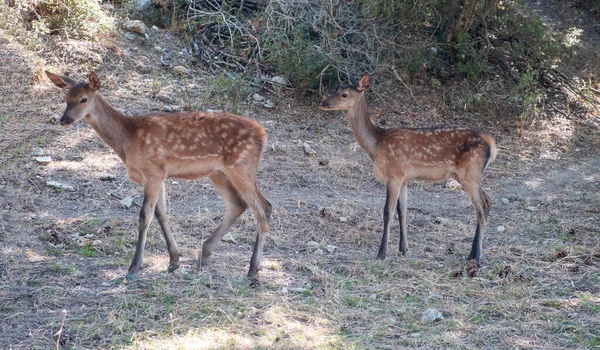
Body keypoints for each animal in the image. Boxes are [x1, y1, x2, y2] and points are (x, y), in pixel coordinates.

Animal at [47, 70, 272, 278]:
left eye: (83, 99)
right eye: (66, 98)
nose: (64, 119)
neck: (127, 139)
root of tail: (262, 134)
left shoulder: (152, 171)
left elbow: (144, 216)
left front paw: (134, 268)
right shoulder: (159, 173)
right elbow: (161, 213)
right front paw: (174, 260)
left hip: (241, 165)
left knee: (263, 208)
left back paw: (253, 269)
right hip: (219, 172)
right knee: (239, 203)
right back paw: (204, 256)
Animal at [322, 73, 500, 262]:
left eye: (344, 95)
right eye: (337, 89)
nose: (323, 102)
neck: (376, 144)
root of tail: (492, 144)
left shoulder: (394, 173)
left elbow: (388, 211)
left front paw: (382, 253)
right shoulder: (404, 178)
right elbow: (403, 211)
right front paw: (403, 249)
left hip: (469, 172)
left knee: (480, 210)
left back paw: (477, 256)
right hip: (466, 175)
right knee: (487, 201)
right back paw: (472, 253)